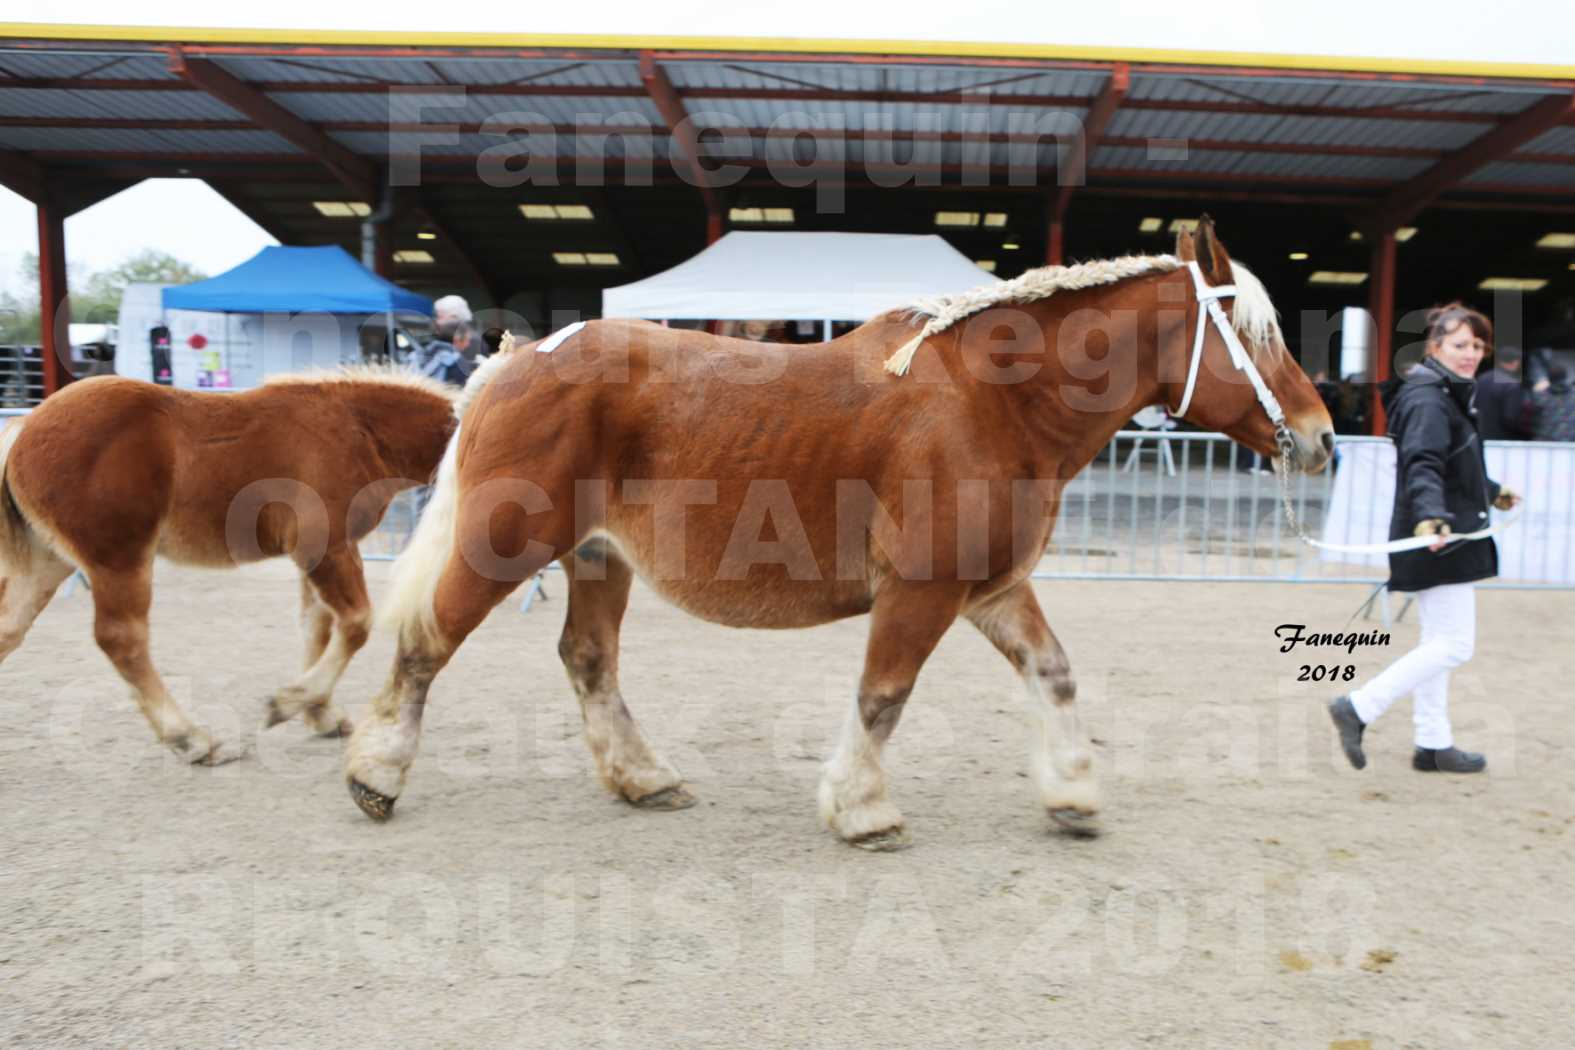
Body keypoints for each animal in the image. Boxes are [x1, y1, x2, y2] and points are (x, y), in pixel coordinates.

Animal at [0, 369, 456, 765]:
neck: (358, 428)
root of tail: (23, 428)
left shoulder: (320, 555)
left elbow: (317, 628)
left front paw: (318, 713)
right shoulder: (324, 548)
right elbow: (356, 624)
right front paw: (286, 703)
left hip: (49, 563)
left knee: (10, 629)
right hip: (119, 560)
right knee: (122, 640)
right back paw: (191, 739)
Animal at [351, 217, 1335, 850]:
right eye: (1255, 332)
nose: (1323, 436)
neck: (995, 402)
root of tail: (518, 360)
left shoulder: (992, 587)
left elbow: (1052, 674)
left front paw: (1073, 794)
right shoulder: (922, 590)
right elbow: (882, 696)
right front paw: (863, 810)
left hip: (599, 560)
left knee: (588, 663)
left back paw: (644, 778)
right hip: (502, 545)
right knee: (426, 644)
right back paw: (376, 775)